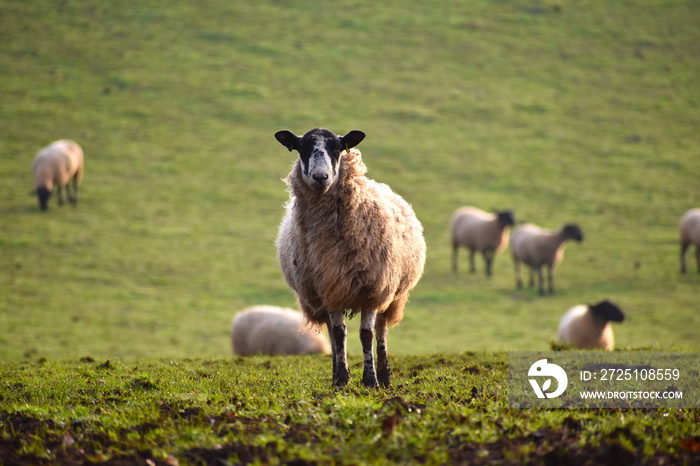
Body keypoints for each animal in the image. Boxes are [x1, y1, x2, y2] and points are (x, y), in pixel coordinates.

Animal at [274, 127, 426, 390]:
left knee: (381, 329)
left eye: (337, 148)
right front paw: (341, 379)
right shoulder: (330, 286)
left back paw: (385, 376)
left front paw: (371, 380)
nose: (321, 177)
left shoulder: (372, 290)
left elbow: (366, 335)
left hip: (391, 293)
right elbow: (338, 334)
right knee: (333, 333)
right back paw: (337, 373)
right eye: (302, 148)